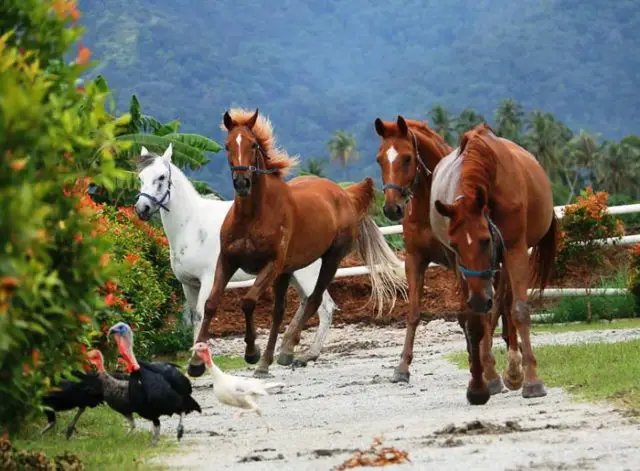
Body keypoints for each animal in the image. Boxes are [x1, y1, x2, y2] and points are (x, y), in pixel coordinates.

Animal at [188, 108, 404, 380]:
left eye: (253, 144)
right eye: (227, 145)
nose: (242, 182)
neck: (253, 216)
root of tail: (345, 195)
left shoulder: (271, 265)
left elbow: (248, 302)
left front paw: (251, 352)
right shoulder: (227, 260)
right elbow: (211, 304)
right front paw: (195, 364)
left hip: (329, 260)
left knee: (313, 300)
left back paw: (288, 350)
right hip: (287, 271)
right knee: (280, 312)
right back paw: (270, 360)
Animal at [372, 117, 508, 394]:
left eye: (407, 158)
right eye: (379, 159)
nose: (392, 209)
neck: (428, 206)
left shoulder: (459, 263)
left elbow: (470, 314)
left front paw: (486, 370)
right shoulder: (414, 259)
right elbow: (414, 313)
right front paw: (402, 368)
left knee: (495, 308)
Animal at [432, 123, 556, 404]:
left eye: (485, 240)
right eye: (455, 245)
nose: (479, 300)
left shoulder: (515, 249)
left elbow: (518, 310)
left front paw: (532, 380)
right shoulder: (467, 272)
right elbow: (478, 320)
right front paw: (481, 384)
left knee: (505, 304)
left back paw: (514, 369)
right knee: (493, 308)